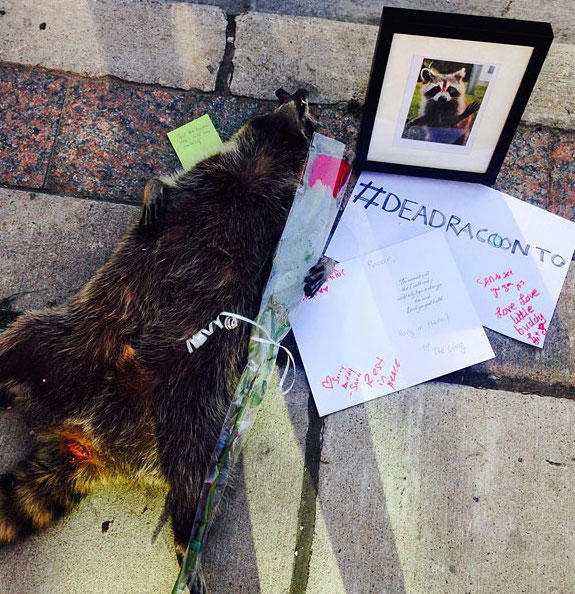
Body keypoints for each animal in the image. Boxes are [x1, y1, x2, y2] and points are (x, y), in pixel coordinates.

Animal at [0, 88, 324, 588]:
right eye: (298, 107)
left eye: (307, 117)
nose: (302, 97)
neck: (266, 160)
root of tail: (93, 441)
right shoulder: (208, 175)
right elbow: (166, 186)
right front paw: (152, 191)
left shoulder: (277, 223)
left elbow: (285, 278)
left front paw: (313, 272)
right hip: (75, 339)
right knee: (24, 336)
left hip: (195, 416)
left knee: (199, 483)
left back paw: (187, 542)